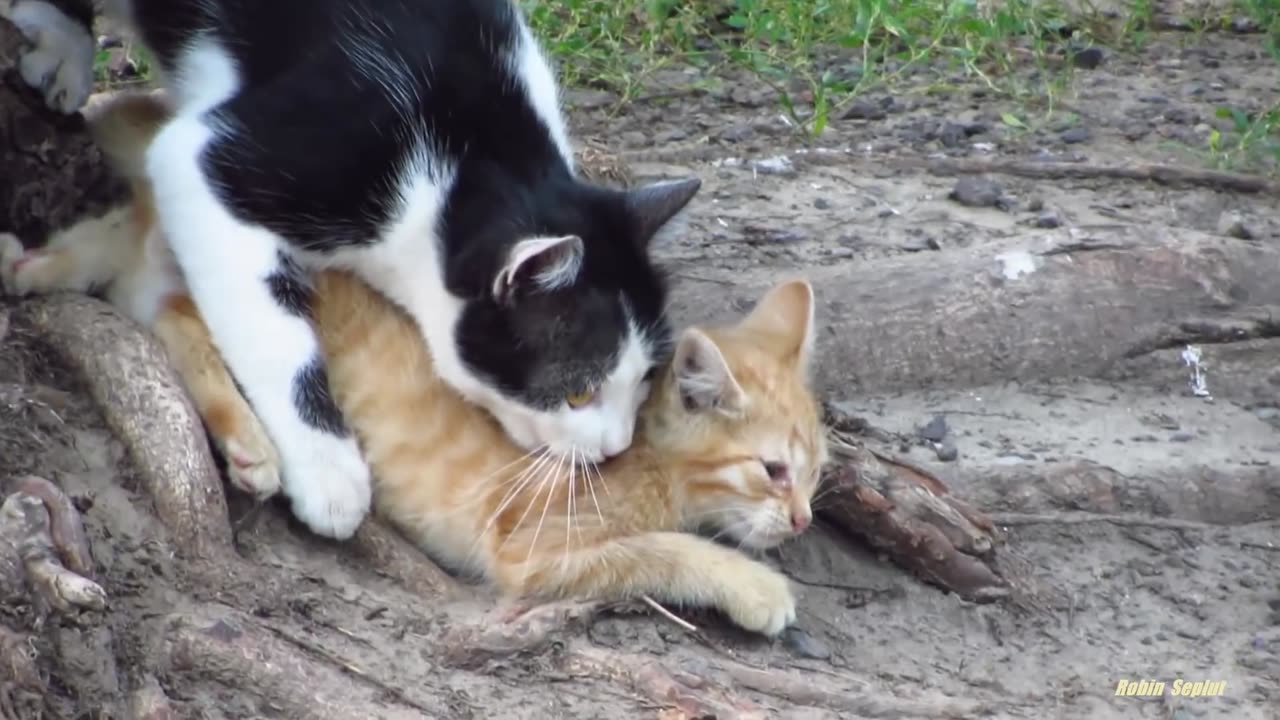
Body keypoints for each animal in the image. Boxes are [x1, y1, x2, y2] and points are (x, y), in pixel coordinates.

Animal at [2, 0, 701, 538]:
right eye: (578, 390)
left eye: (644, 378)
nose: (615, 446)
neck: (472, 160)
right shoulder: (220, 157)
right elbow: (275, 333)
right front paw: (326, 469)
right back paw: (61, 47)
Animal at [2, 89, 829, 632]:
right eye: (772, 470)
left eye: (816, 474)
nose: (803, 520)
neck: (653, 466)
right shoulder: (527, 547)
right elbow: (660, 550)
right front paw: (756, 588)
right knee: (178, 322)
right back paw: (251, 447)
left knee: (117, 264)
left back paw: (31, 266)